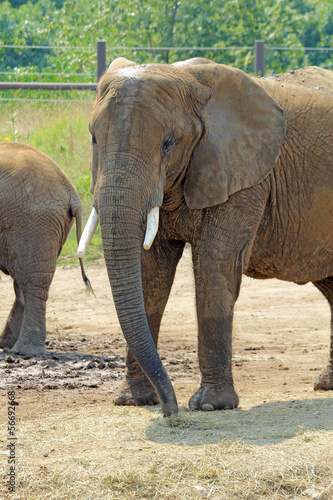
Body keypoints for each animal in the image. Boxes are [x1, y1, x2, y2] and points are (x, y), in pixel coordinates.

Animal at [0, 143, 91, 358]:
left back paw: (24, 351)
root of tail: (70, 190)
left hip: (32, 223)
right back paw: (7, 344)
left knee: (33, 284)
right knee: (23, 286)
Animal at [80, 58, 332, 416]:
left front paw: (211, 405)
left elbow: (215, 266)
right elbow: (149, 274)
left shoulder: (246, 177)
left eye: (168, 143)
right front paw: (133, 401)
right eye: (93, 138)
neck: (186, 78)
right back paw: (327, 384)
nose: (170, 411)